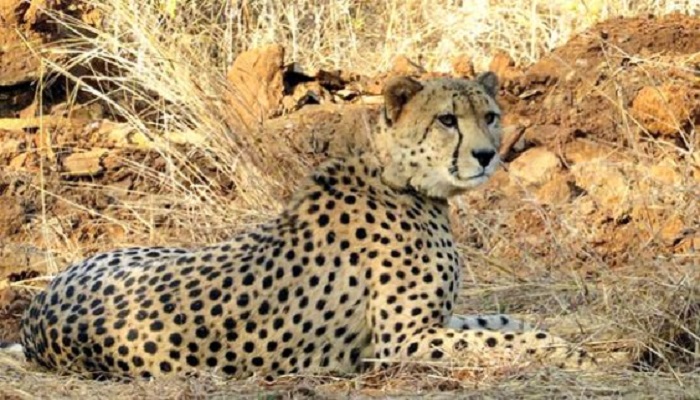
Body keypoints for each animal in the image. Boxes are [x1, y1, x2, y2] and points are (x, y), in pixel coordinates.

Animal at [16, 72, 596, 381]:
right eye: (447, 120)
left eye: (490, 115)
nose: (485, 155)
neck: (401, 179)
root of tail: (34, 314)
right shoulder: (399, 342)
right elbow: (505, 339)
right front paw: (570, 353)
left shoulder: (436, 321)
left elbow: (503, 321)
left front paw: (566, 338)